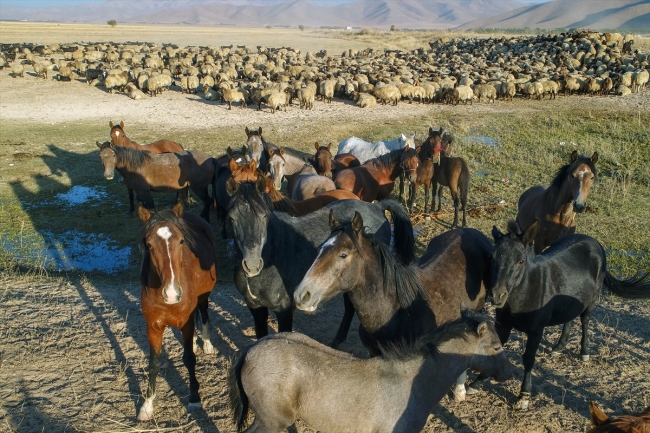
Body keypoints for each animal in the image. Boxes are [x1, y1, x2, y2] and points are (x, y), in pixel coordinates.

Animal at [135, 203, 216, 422]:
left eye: (181, 240)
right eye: (148, 244)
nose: (172, 294)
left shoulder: (186, 325)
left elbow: (189, 359)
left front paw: (194, 398)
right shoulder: (153, 327)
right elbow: (153, 363)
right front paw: (147, 405)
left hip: (204, 296)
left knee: (204, 313)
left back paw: (206, 343)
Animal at [225, 176, 412, 348]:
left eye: (264, 216)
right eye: (232, 218)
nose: (252, 265)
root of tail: (376, 206)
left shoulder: (284, 309)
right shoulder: (255, 308)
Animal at [294, 214, 492, 400]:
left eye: (343, 254)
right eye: (320, 249)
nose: (301, 295)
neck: (397, 312)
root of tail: (471, 231)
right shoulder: (375, 354)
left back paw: (460, 389)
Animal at [466, 219, 648, 408]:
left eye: (521, 261)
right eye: (491, 257)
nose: (496, 296)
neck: (526, 291)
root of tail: (594, 242)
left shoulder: (536, 331)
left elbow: (528, 359)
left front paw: (524, 395)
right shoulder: (503, 326)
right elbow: (495, 350)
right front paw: (476, 384)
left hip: (591, 300)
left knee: (585, 320)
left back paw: (584, 352)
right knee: (569, 318)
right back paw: (559, 347)